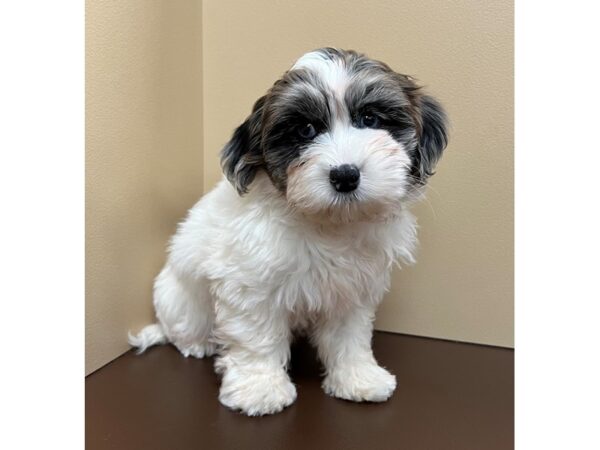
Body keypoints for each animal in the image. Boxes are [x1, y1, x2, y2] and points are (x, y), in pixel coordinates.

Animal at [129, 47, 448, 416]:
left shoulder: (351, 287)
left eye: (370, 119)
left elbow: (350, 336)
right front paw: (259, 389)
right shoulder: (249, 284)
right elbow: (256, 337)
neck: (328, 223)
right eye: (306, 130)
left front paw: (357, 377)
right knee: (182, 327)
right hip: (177, 299)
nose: (345, 175)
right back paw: (197, 343)